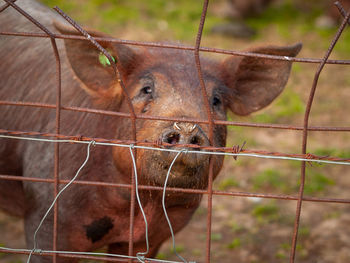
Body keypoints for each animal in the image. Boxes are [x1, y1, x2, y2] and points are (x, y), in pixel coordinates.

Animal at [0, 0, 300, 262]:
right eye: (146, 90)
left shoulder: (155, 236)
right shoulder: (47, 216)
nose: (186, 125)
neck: (139, 206)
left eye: (216, 101)